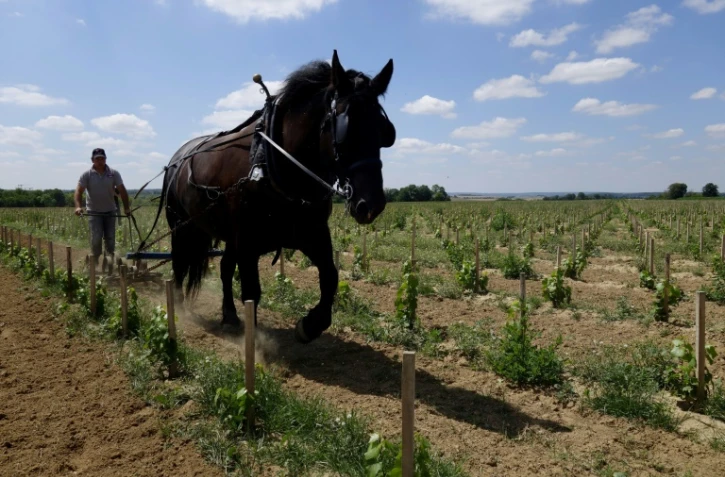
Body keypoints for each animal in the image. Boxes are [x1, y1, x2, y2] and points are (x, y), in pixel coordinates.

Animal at [153, 50, 396, 344]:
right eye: (345, 127)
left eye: (384, 131)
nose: (371, 204)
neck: (274, 161)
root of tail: (177, 158)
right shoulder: (247, 242)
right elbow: (251, 292)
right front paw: (255, 343)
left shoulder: (312, 233)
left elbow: (330, 276)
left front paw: (309, 325)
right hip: (181, 226)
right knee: (180, 263)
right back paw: (176, 305)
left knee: (223, 267)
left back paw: (229, 316)